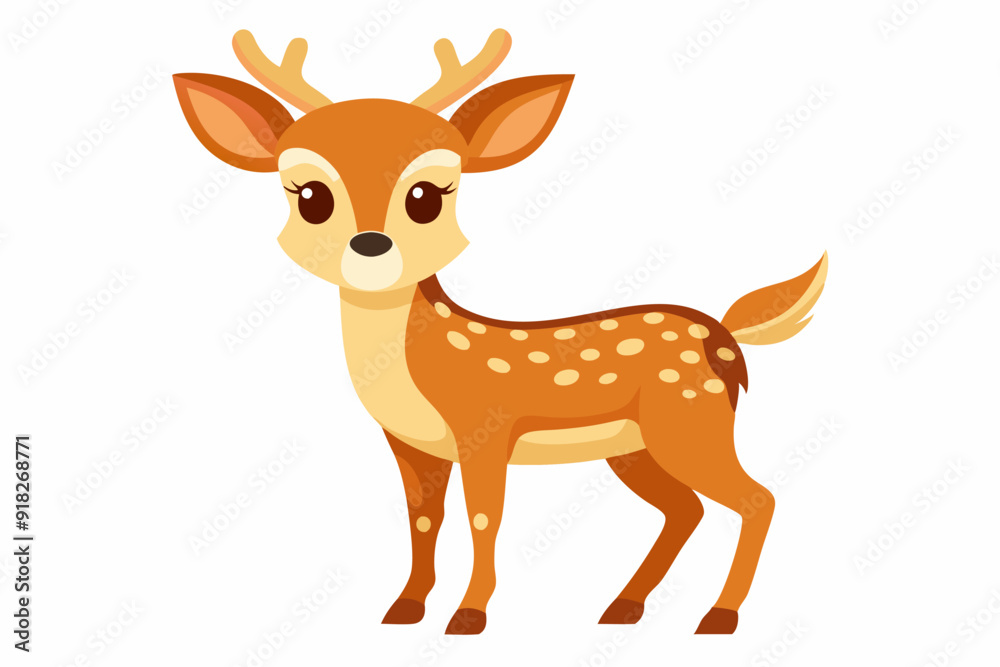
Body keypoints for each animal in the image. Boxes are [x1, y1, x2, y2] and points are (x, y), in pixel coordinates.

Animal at [172, 28, 828, 635]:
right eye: (310, 194)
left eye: (426, 195)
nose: (370, 246)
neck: (417, 366)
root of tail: (726, 338)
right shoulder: (412, 445)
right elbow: (422, 519)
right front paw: (405, 608)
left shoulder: (484, 428)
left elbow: (484, 517)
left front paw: (468, 615)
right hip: (636, 446)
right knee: (686, 510)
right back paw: (623, 608)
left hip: (690, 419)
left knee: (757, 498)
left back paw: (719, 616)